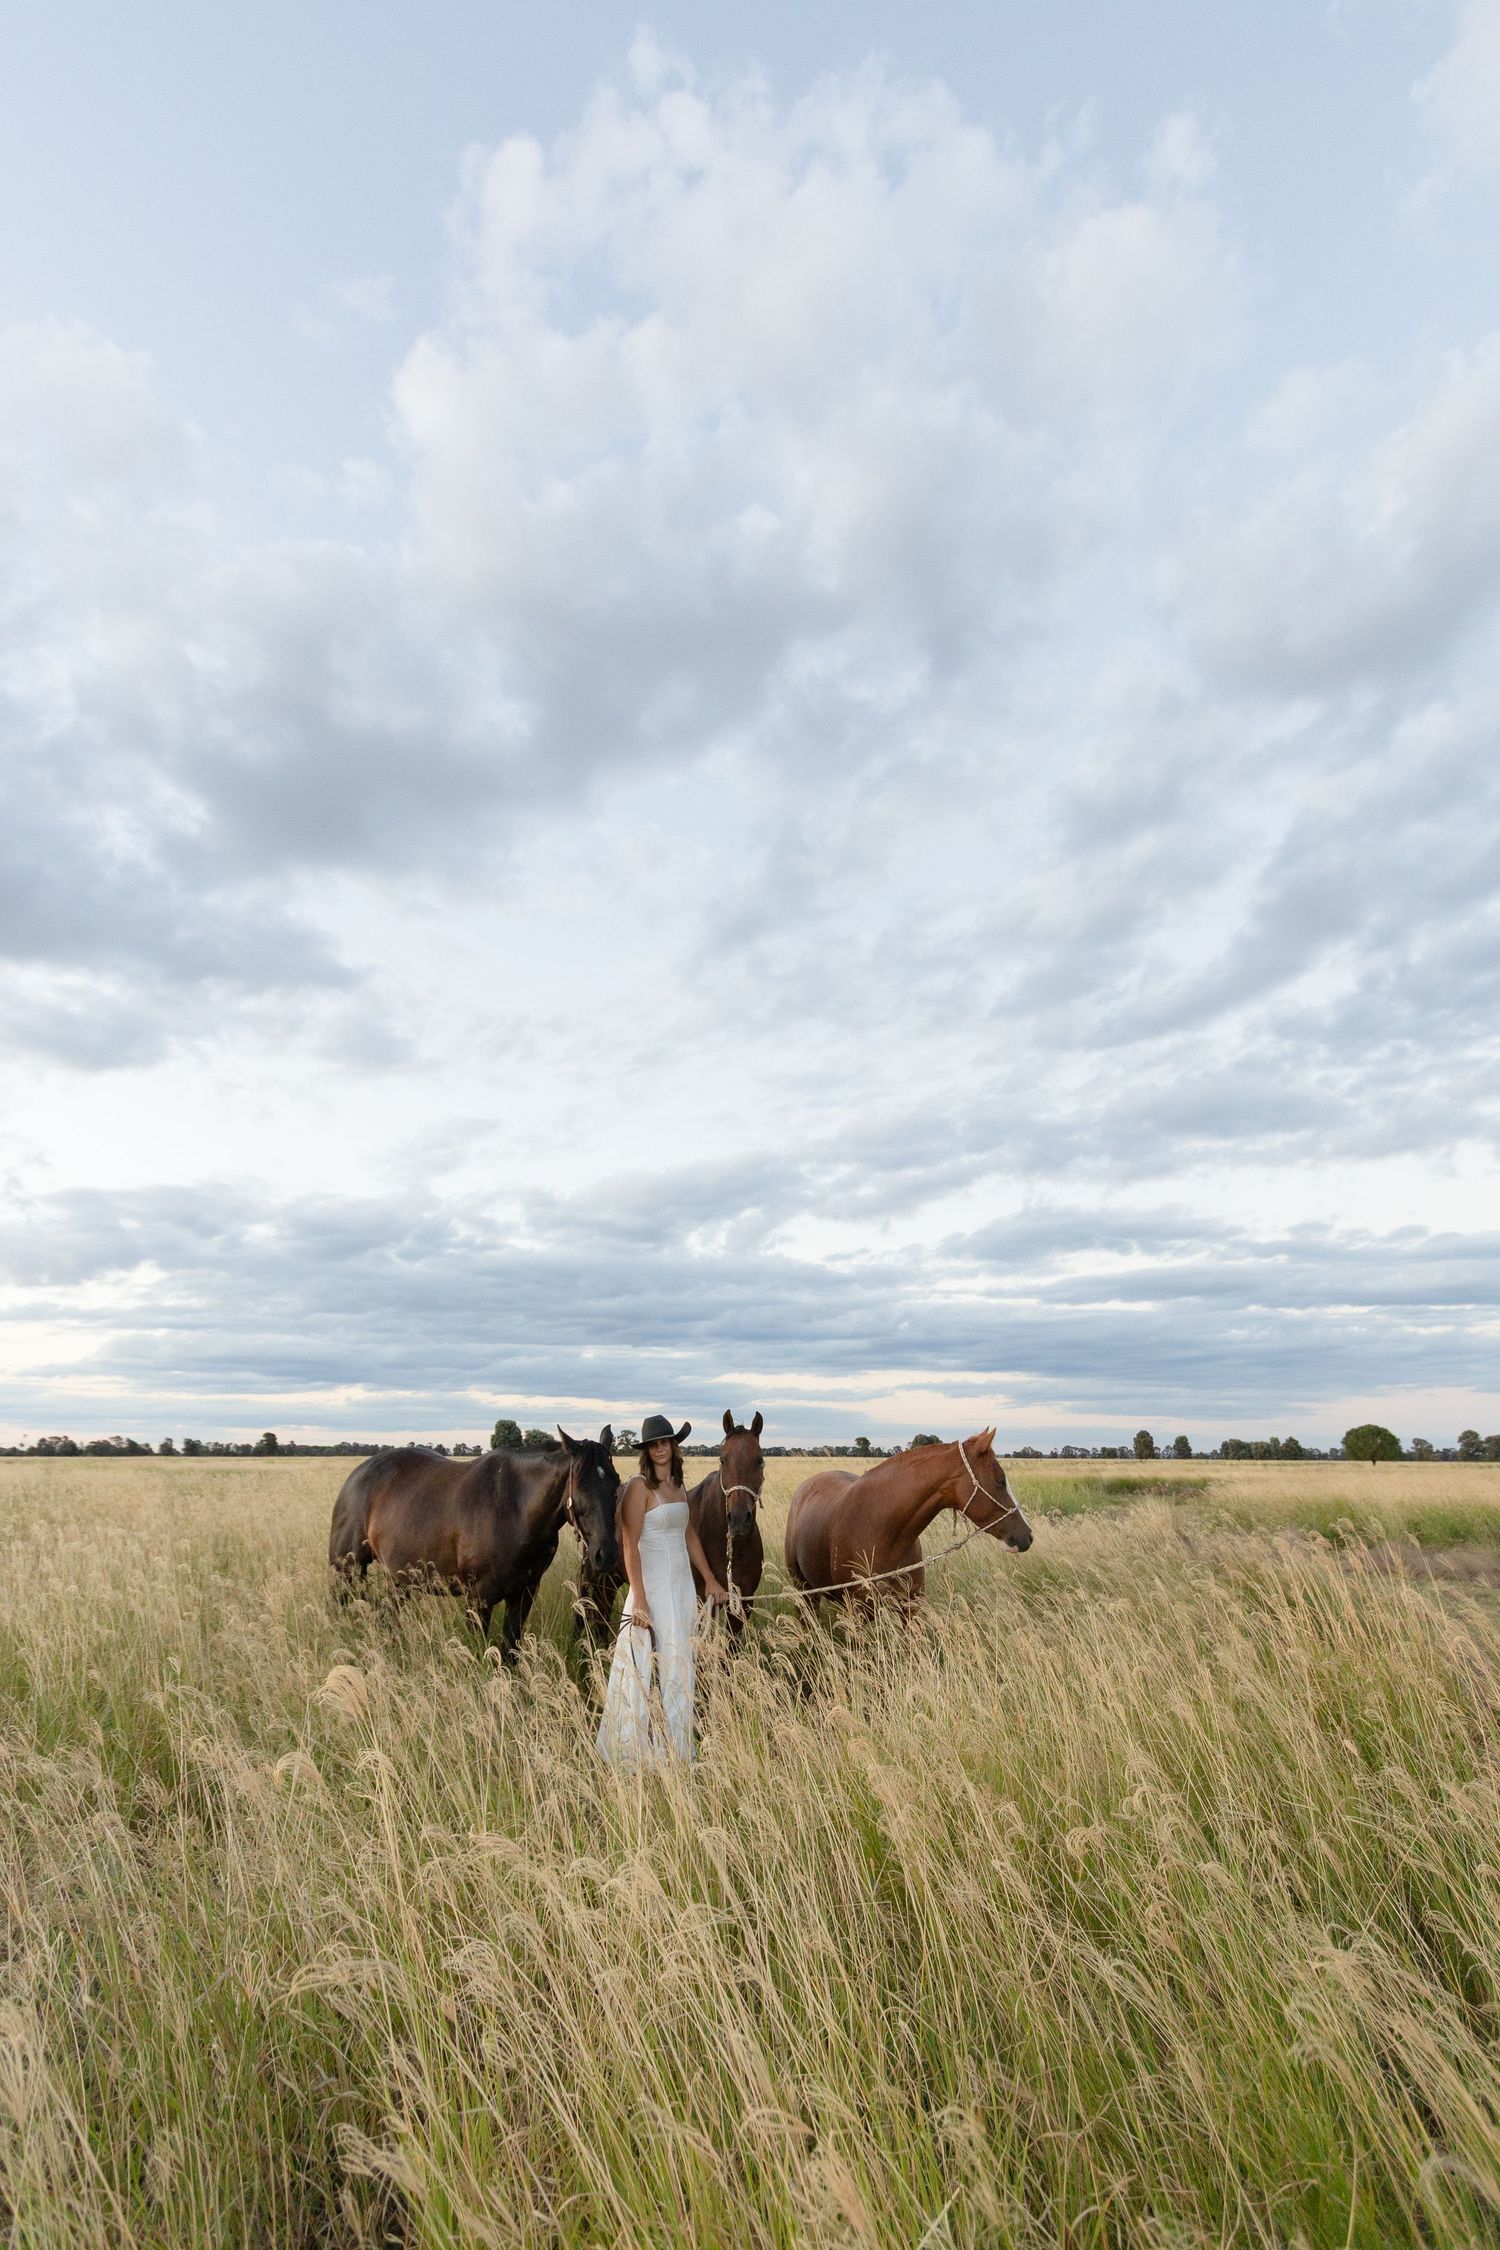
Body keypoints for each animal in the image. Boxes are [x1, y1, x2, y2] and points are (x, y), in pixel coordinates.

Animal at [328, 1428, 621, 1662]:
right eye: (581, 1487)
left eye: (616, 1484)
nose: (607, 1555)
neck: (514, 1508)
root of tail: (357, 1475)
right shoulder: (479, 1597)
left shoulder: (524, 1592)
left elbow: (509, 1652)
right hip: (346, 1569)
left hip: (399, 1579)